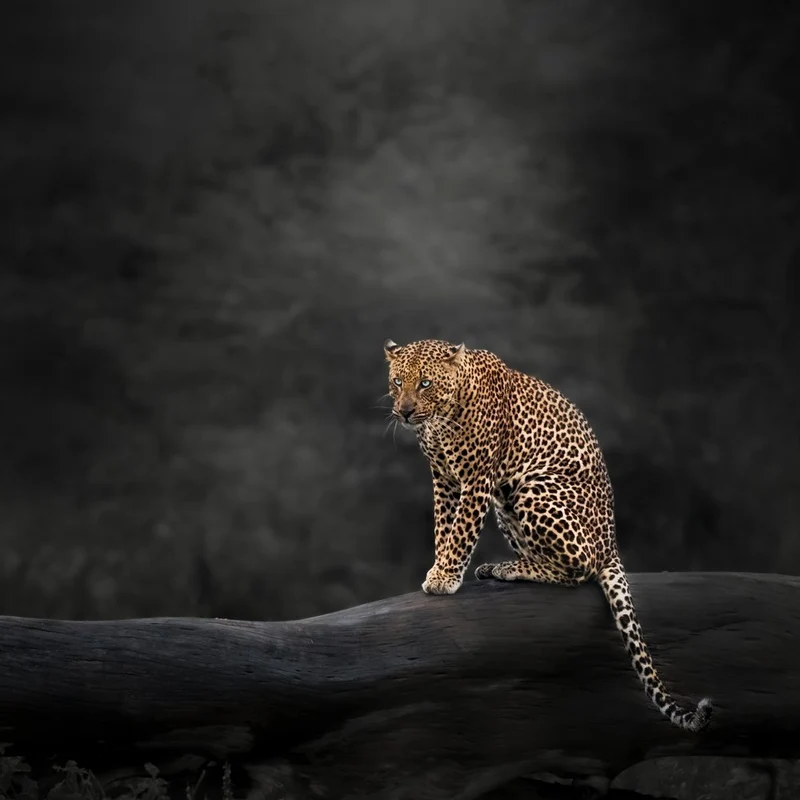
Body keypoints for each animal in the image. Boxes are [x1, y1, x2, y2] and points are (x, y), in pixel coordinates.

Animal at [383, 337, 712, 733]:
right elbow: (443, 527)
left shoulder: (476, 479)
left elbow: (460, 531)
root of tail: (611, 545)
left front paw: (444, 577)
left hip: (532, 488)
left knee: (578, 570)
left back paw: (511, 569)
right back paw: (500, 566)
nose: (404, 412)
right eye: (398, 382)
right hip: (506, 503)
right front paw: (440, 568)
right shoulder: (444, 478)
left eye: (425, 384)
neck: (441, 418)